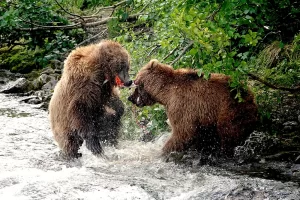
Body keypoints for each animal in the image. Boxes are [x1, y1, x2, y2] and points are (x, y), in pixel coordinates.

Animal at [128, 59, 258, 156]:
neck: (165, 94)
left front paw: (164, 150)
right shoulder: (204, 119)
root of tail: (250, 96)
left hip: (230, 111)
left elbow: (183, 132)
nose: (130, 98)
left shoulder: (181, 105)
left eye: (136, 82)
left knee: (229, 135)